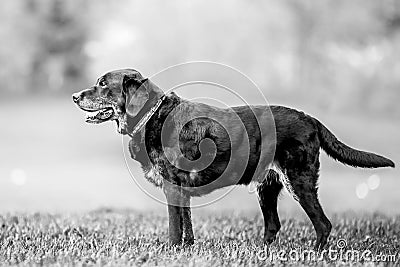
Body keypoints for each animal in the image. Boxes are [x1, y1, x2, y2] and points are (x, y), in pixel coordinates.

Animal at [72, 68, 394, 250]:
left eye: (103, 84)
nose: (75, 96)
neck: (153, 117)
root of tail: (311, 119)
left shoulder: (172, 187)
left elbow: (175, 228)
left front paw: (171, 251)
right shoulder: (181, 190)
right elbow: (187, 226)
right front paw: (187, 250)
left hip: (298, 180)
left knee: (323, 224)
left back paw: (314, 254)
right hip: (268, 187)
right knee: (273, 225)